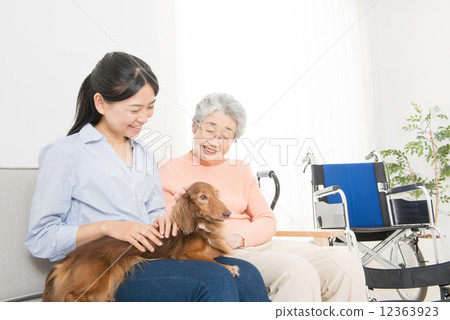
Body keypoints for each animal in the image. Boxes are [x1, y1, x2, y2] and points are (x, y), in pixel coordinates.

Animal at [42, 181, 239, 302]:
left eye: (217, 194)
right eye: (203, 197)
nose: (228, 213)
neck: (201, 227)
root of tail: (65, 259)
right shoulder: (184, 254)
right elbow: (212, 262)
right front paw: (229, 268)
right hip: (101, 278)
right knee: (71, 296)